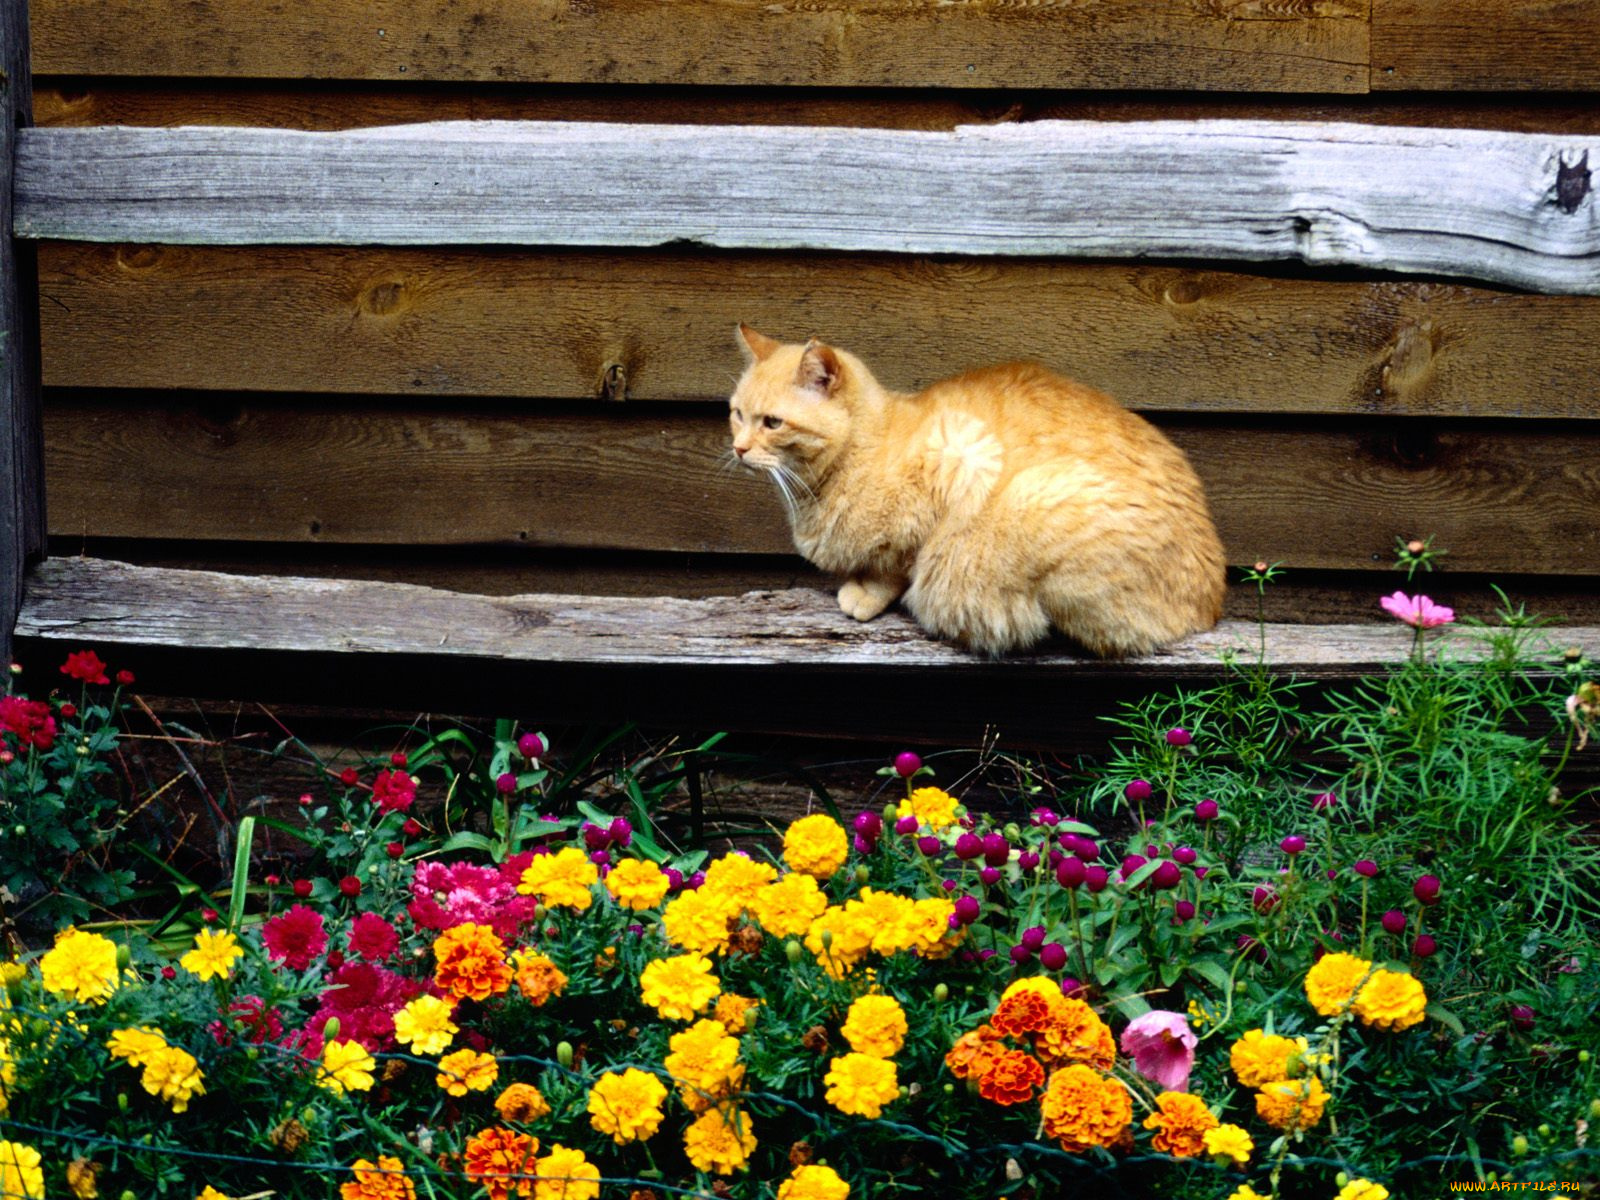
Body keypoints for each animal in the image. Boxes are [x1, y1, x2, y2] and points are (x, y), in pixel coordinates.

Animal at [726, 326, 1222, 659]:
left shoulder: (960, 459)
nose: (739, 448)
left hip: (1040, 509)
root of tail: (1212, 607)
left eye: (772, 422)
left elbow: (898, 566)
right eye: (736, 414)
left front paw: (865, 594)